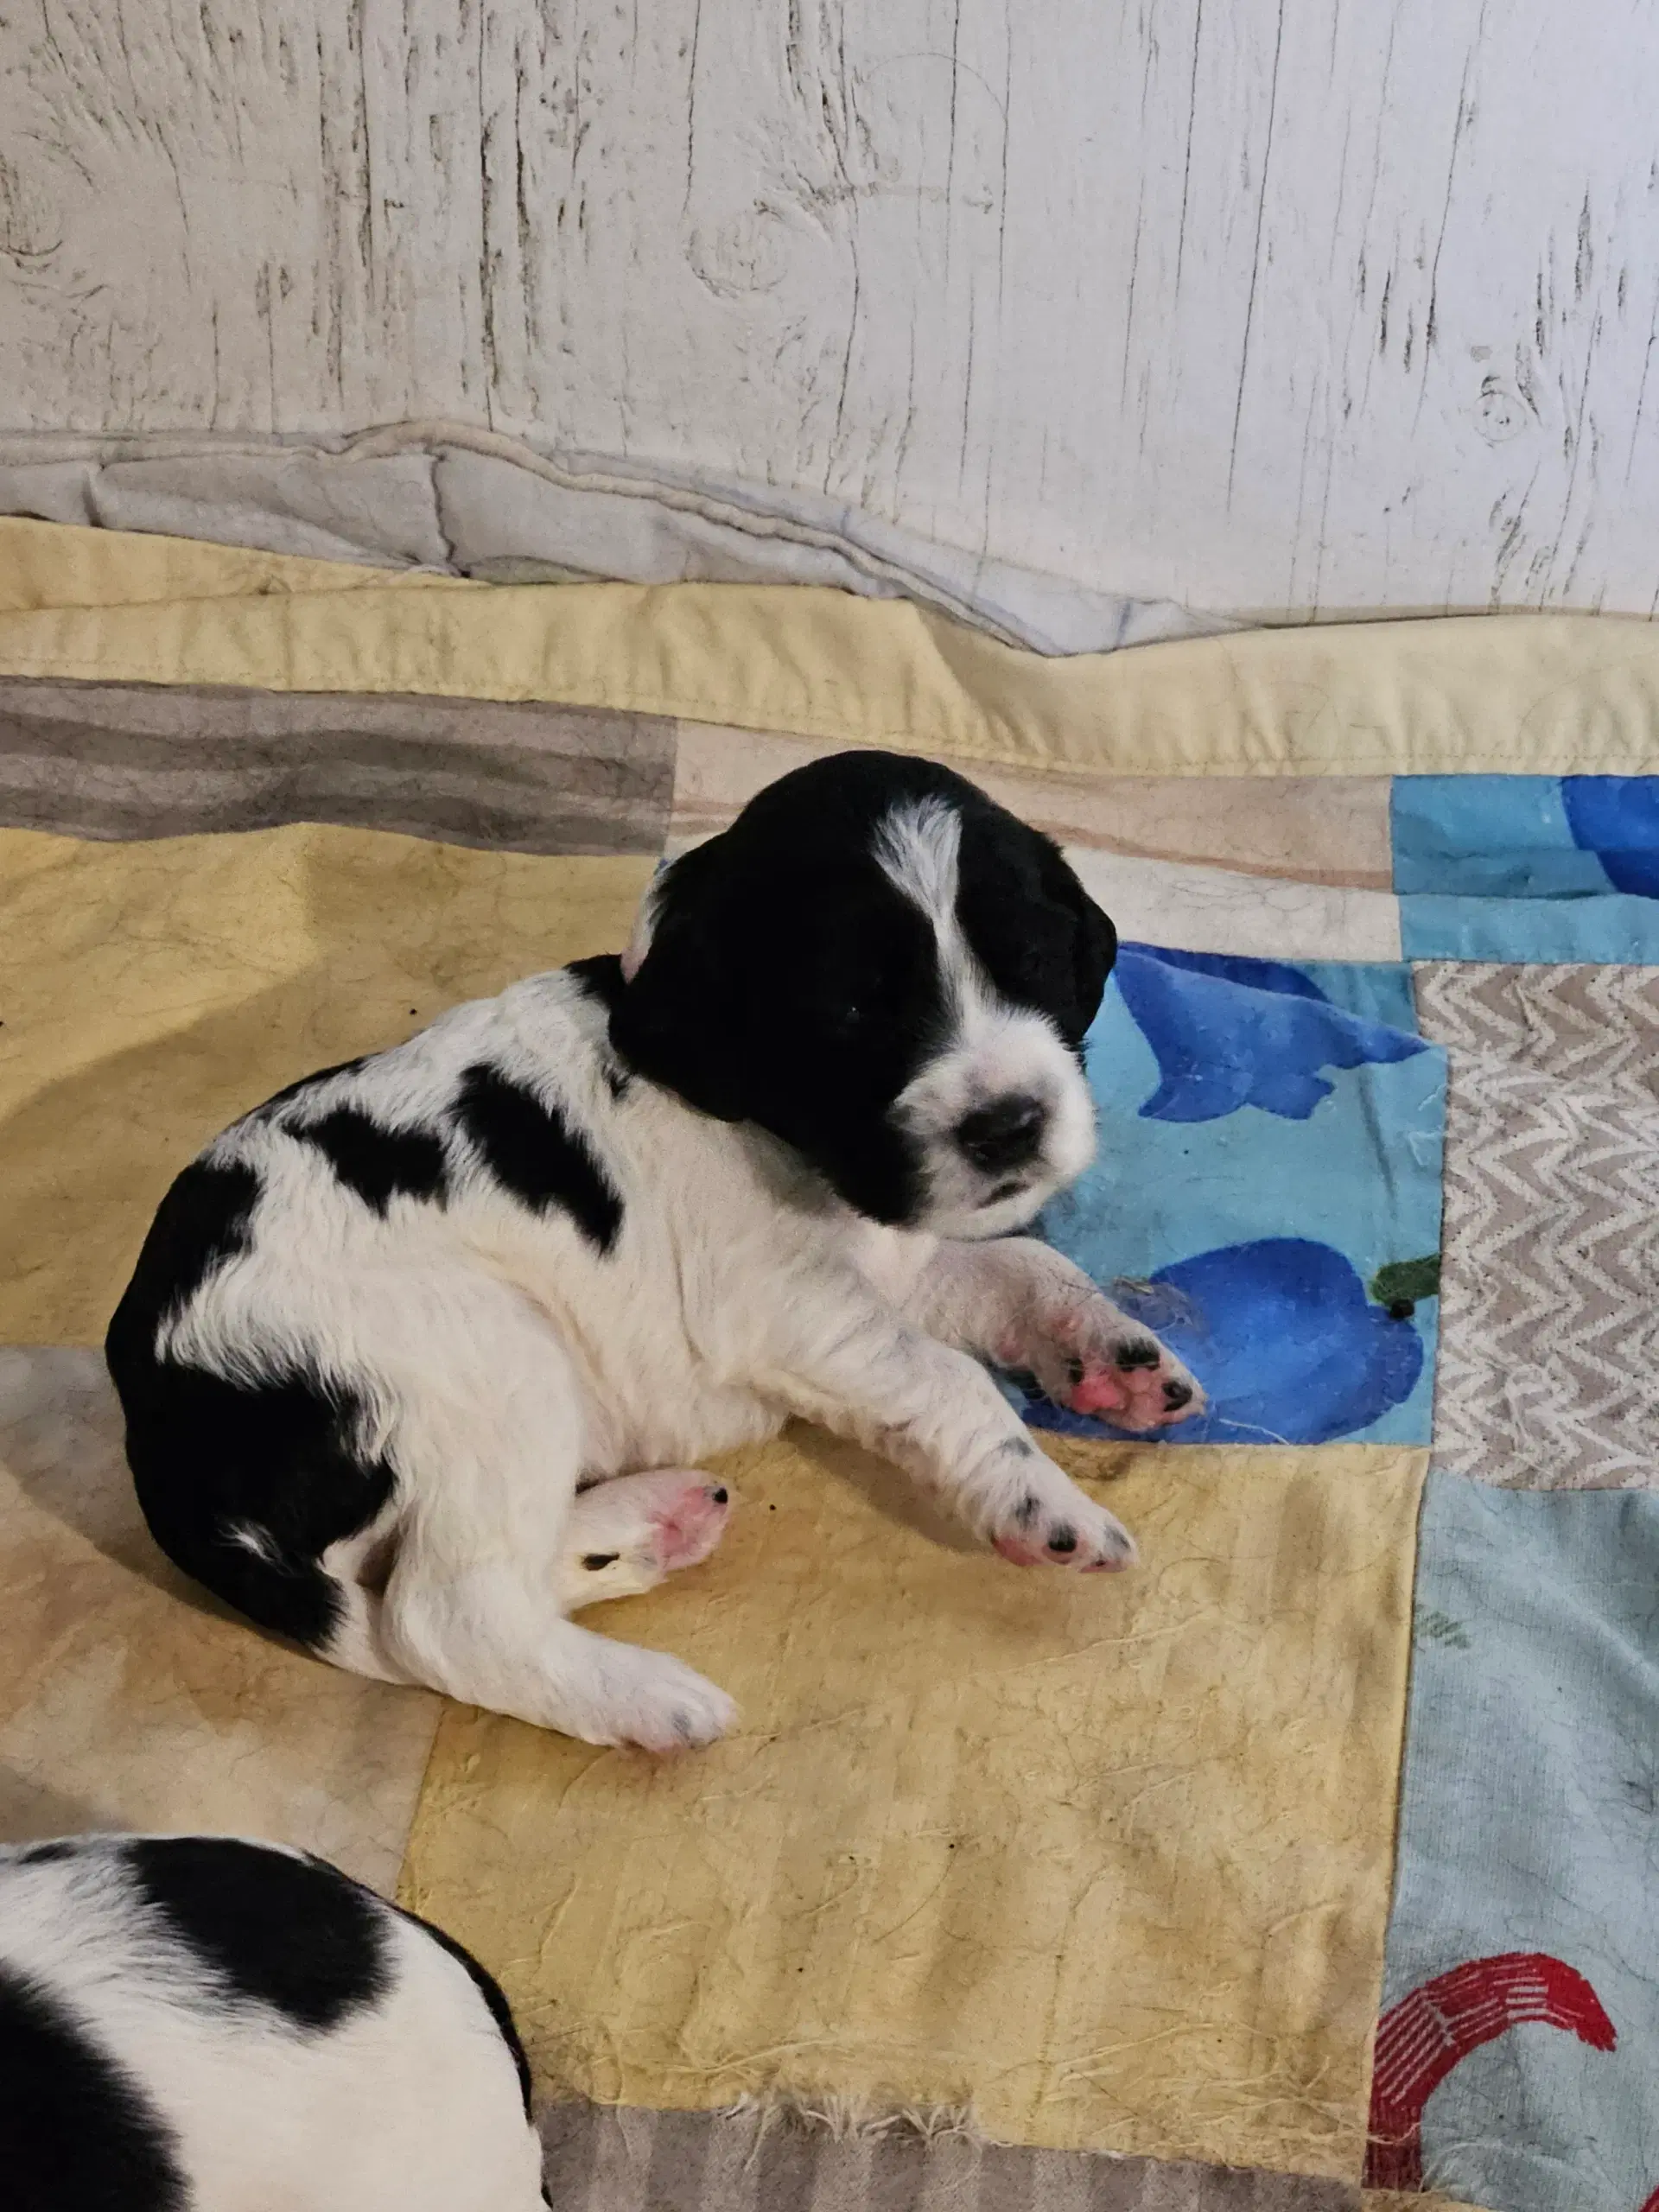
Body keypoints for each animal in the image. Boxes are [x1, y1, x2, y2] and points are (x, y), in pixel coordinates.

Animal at [111, 752, 1211, 1751]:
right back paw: (646, 1698)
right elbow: (947, 1377)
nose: (1009, 1124)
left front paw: (1110, 1357)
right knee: (442, 1615)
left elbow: (1023, 1269)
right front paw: (1045, 1503)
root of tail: (161, 1393)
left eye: (1031, 964)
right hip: (488, 1362)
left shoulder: (896, 1253)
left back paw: (646, 1524)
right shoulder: (786, 1303)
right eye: (854, 1009)